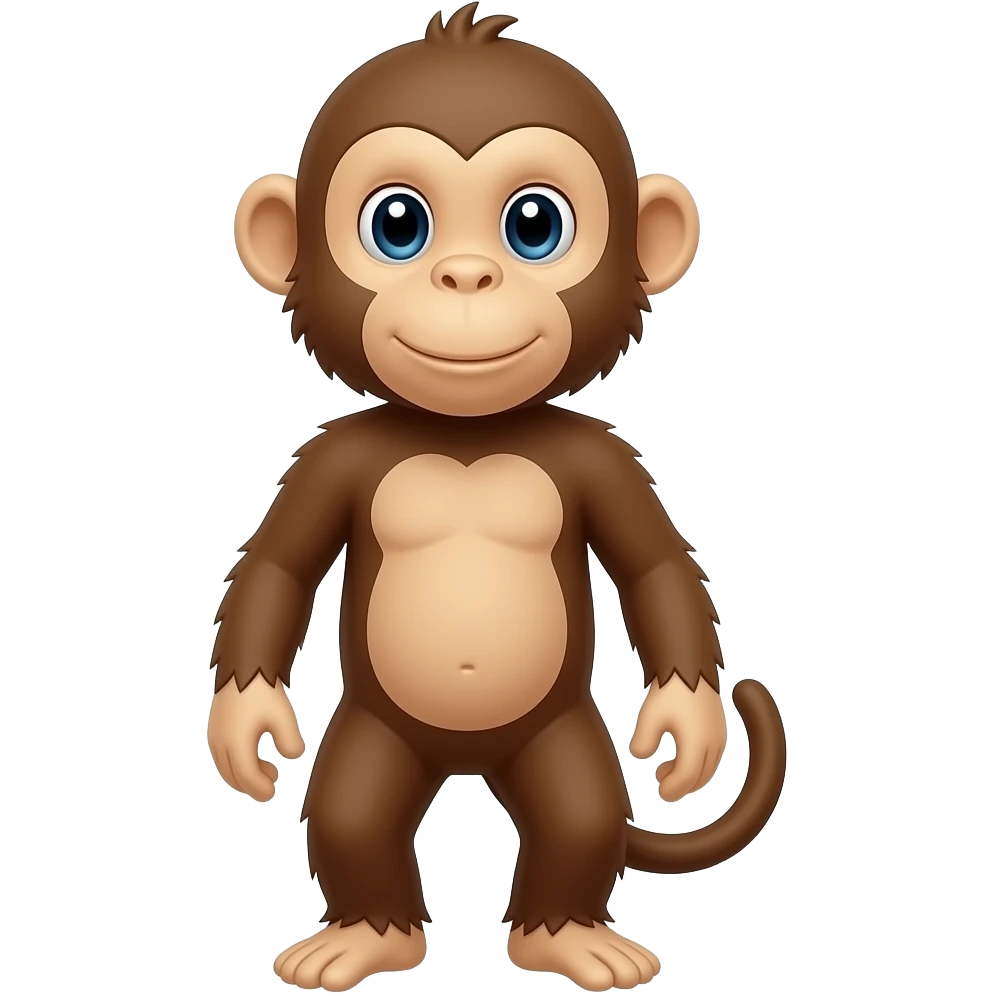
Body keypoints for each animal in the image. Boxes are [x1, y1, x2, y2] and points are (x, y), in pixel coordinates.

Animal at [208, 5, 787, 992]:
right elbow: (277, 566)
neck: (466, 434)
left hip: (559, 734)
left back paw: (567, 934)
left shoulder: (605, 457)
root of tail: (467, 759)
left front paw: (687, 721)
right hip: (374, 732)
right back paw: (367, 935)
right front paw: (246, 721)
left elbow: (655, 565)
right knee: (353, 812)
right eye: (398, 222)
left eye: (534, 224)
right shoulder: (326, 457)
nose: (468, 276)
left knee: (578, 813)